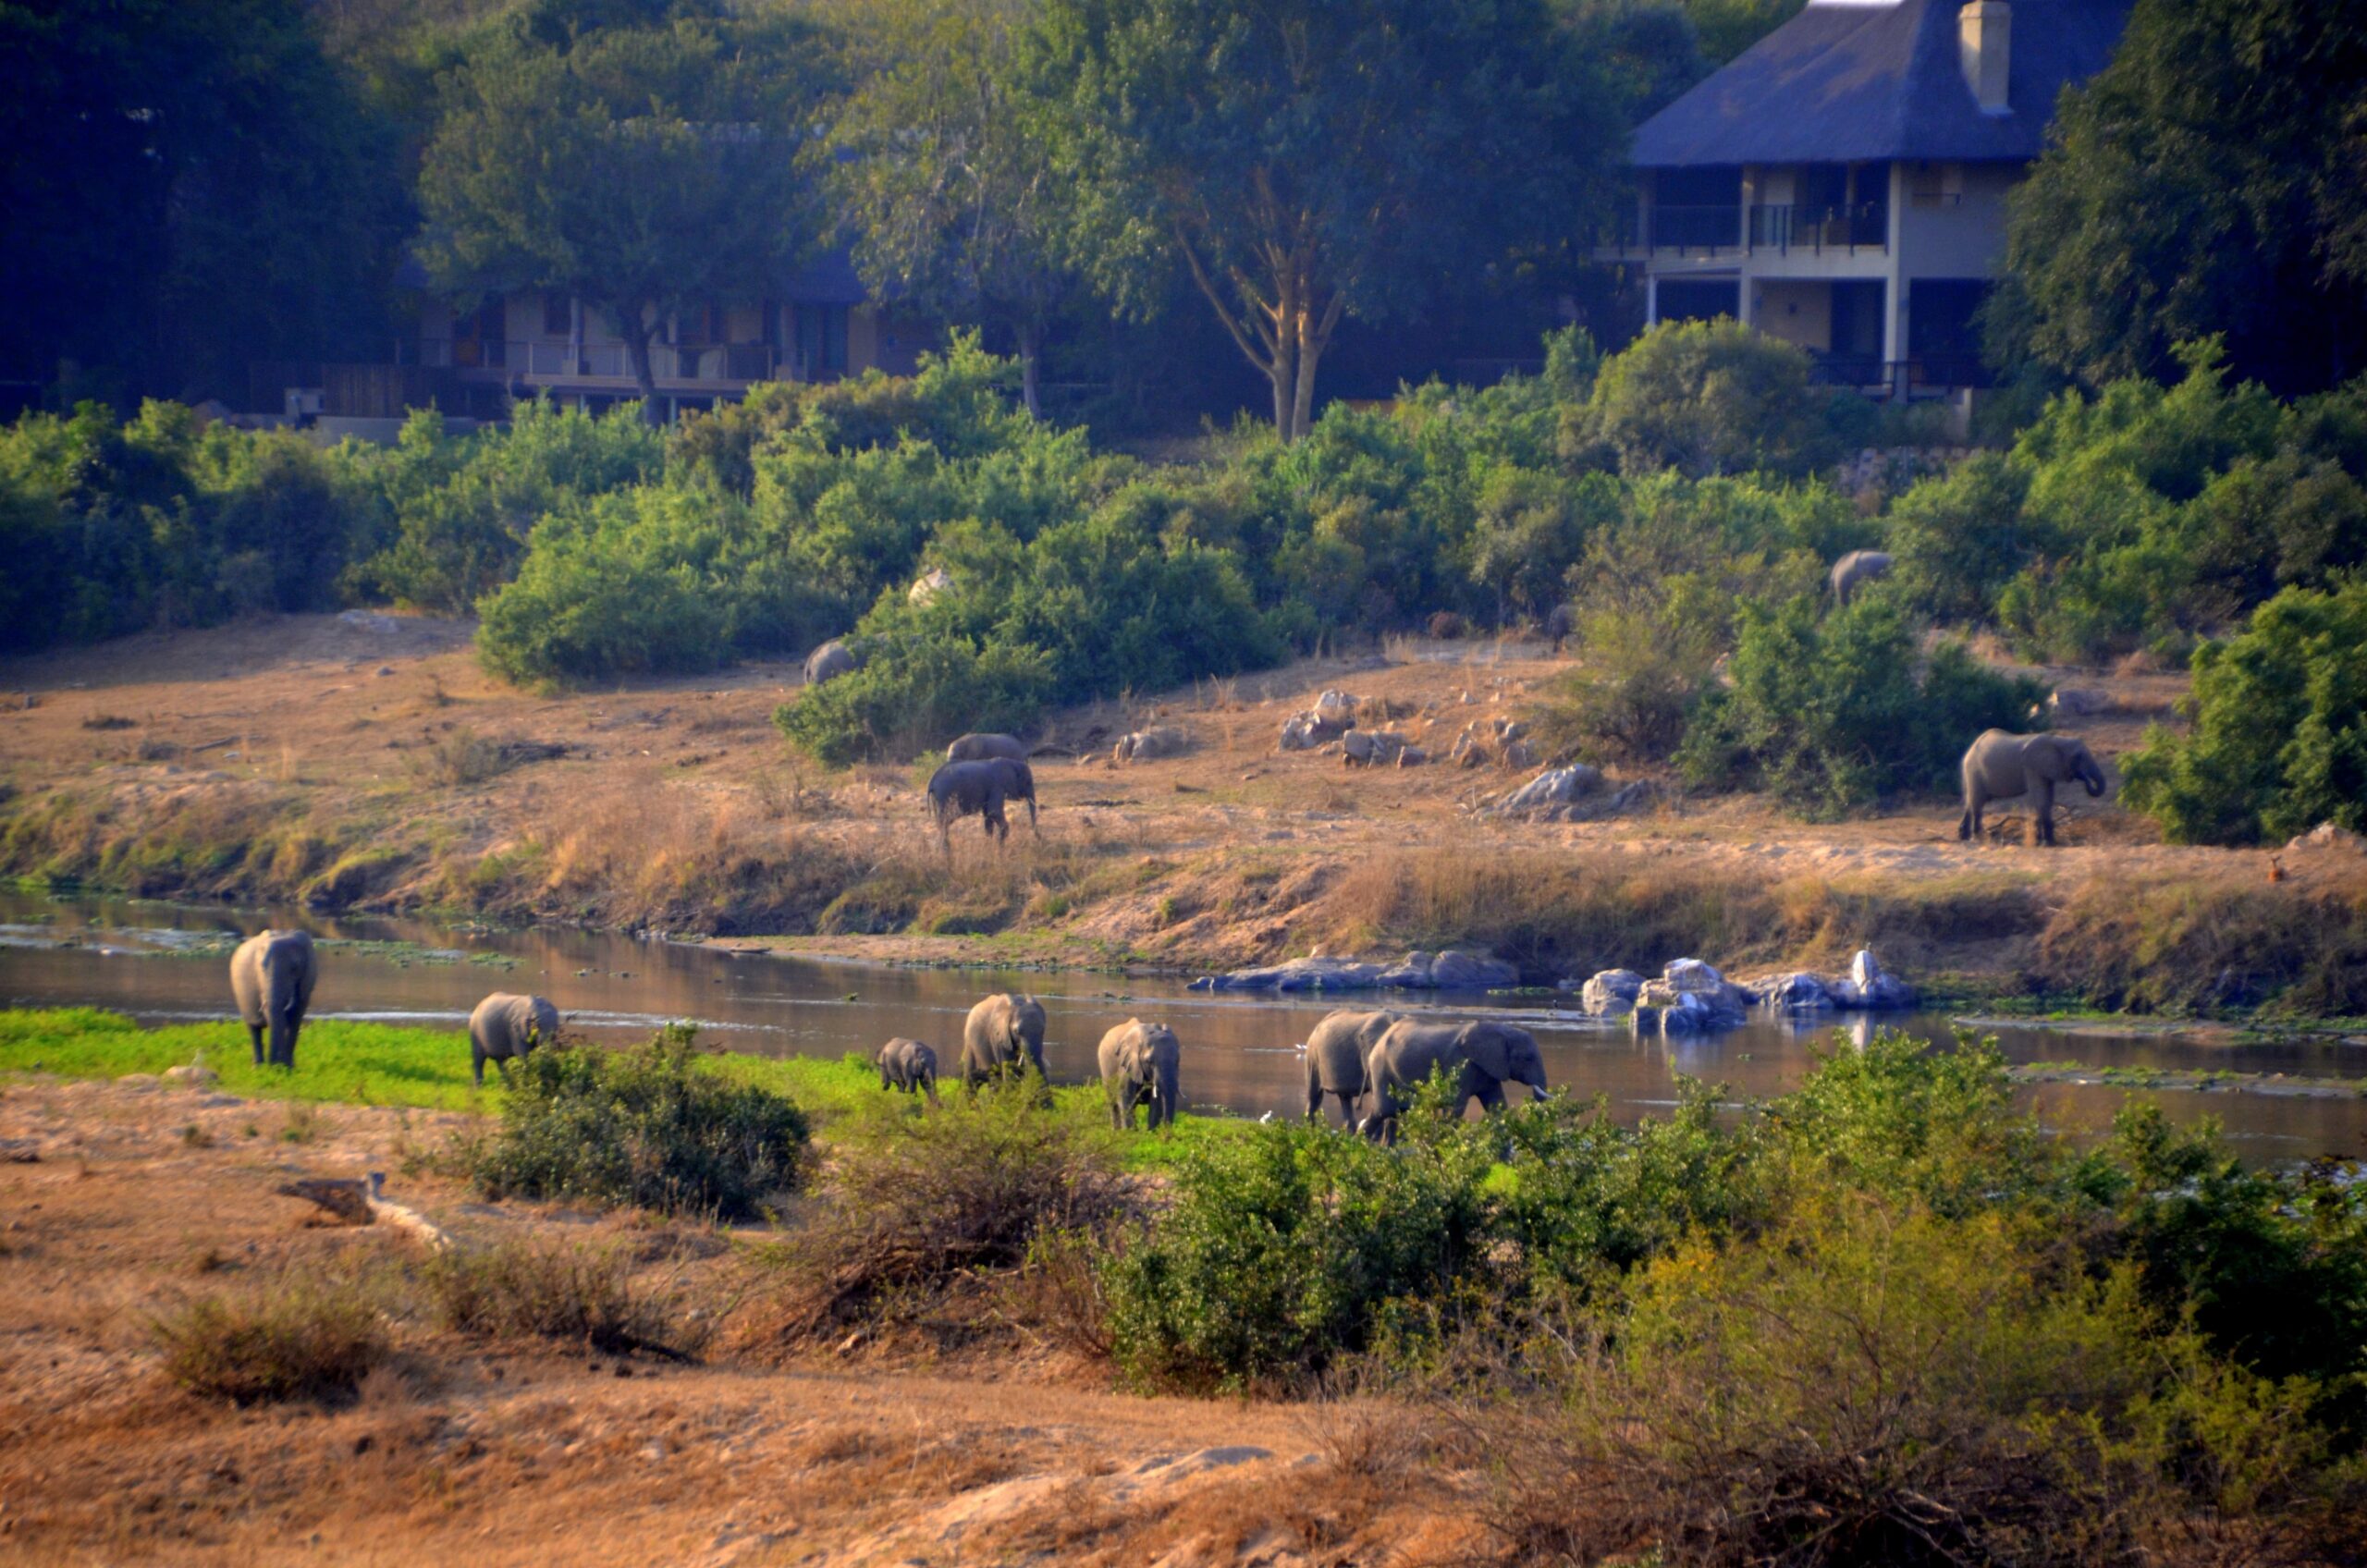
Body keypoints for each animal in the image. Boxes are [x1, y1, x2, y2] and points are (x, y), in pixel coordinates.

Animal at [229, 928, 319, 1075]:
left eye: (294, 968)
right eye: (261, 967)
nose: (273, 1066)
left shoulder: (307, 982)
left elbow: (296, 1018)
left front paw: (288, 1068)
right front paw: (280, 1068)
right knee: (253, 1029)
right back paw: (257, 1068)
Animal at [1354, 1018, 1552, 1141]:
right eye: (1527, 1058)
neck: (1502, 1031)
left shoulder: (1488, 1068)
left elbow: (1498, 1107)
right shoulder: (1461, 1065)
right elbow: (1456, 1109)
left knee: (1397, 1111)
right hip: (1381, 1069)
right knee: (1384, 1110)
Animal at [1959, 729, 2111, 848]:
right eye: (2078, 757)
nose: (2084, 776)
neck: (2056, 740)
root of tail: (1970, 750)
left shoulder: (2047, 768)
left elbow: (2048, 799)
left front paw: (2048, 842)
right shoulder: (2031, 766)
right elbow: (2041, 797)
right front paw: (2047, 843)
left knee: (1970, 802)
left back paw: (1964, 837)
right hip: (1974, 772)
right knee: (1977, 804)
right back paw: (1978, 838)